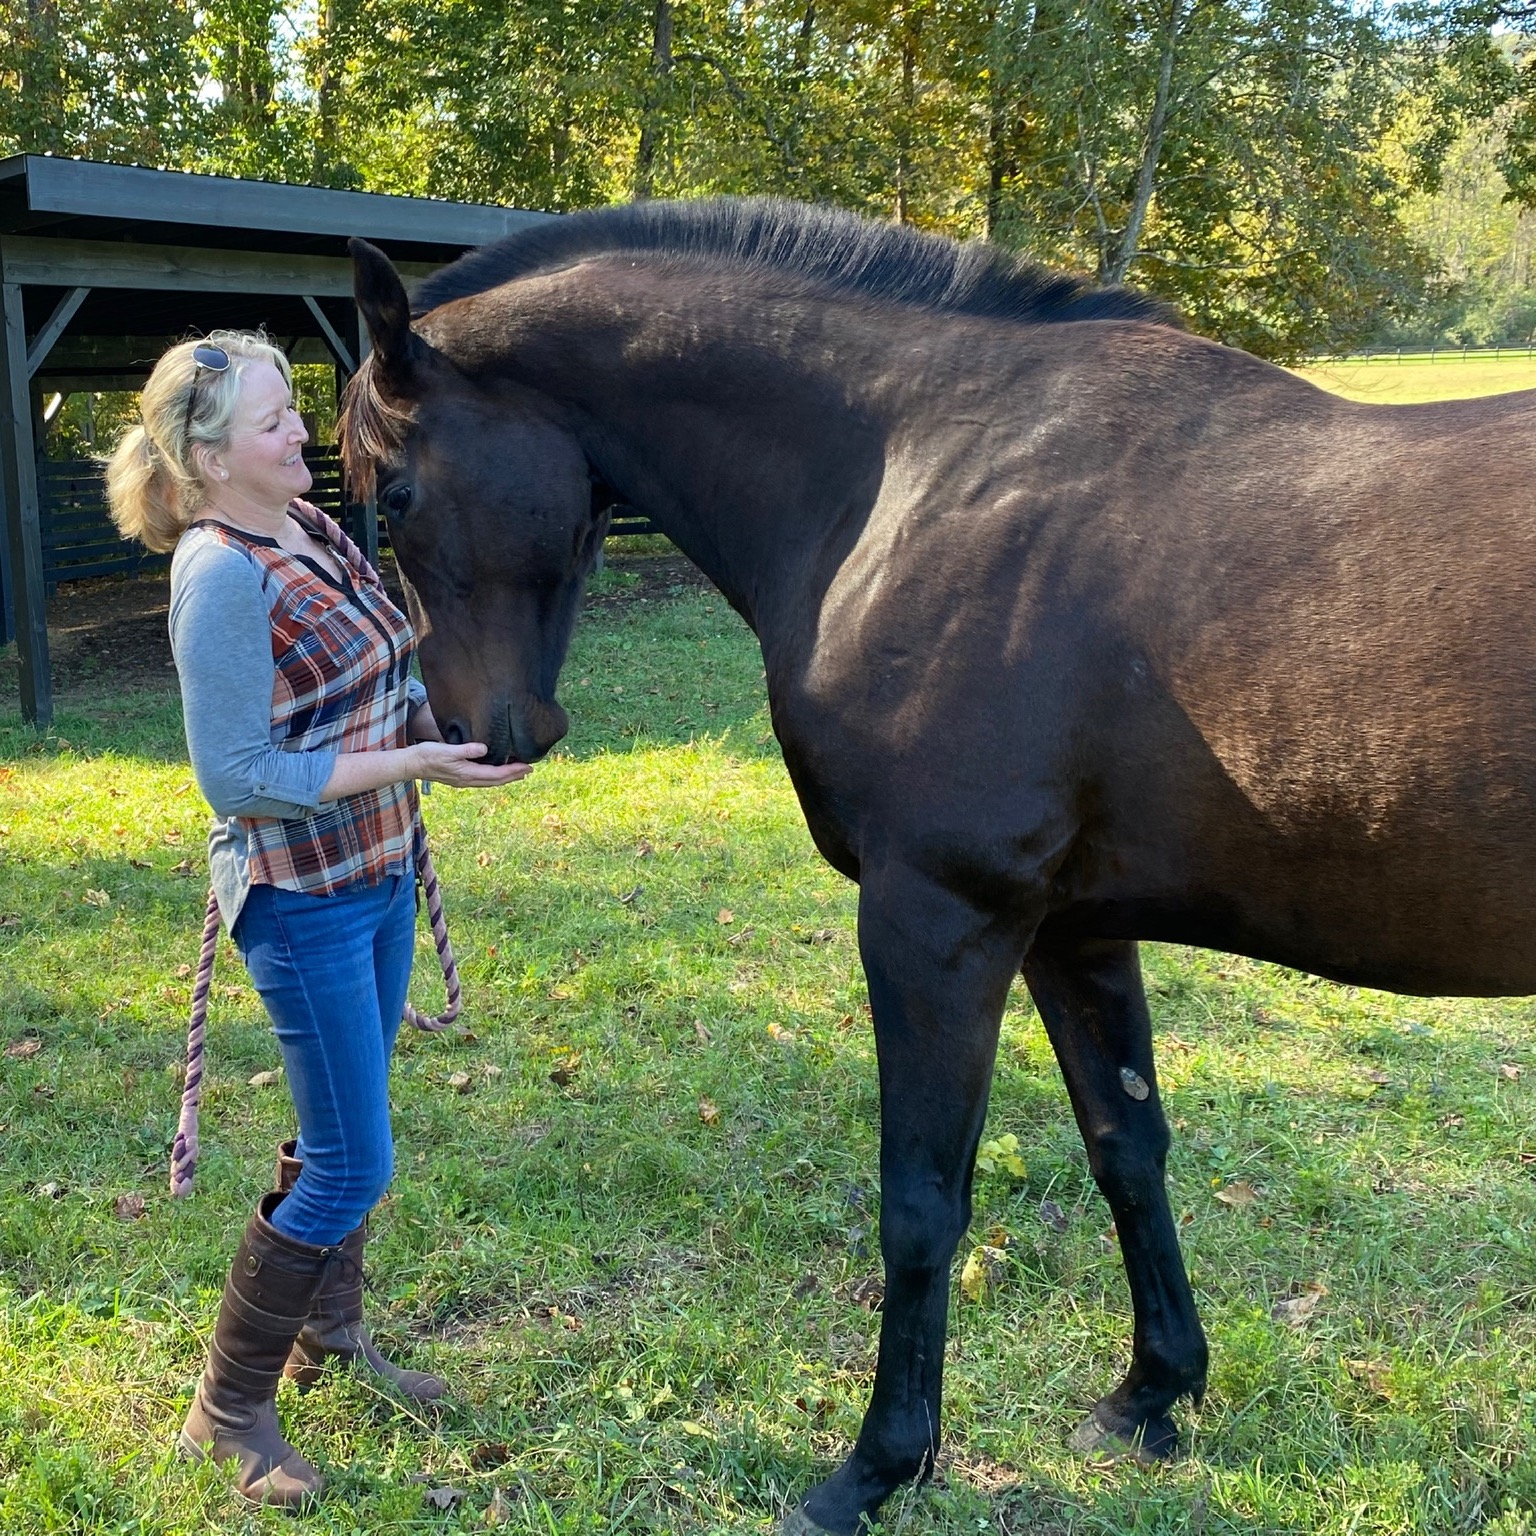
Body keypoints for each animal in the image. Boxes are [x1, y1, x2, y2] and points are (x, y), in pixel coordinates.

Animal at [338, 198, 1536, 1535]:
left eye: (395, 495)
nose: (475, 731)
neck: (914, 475)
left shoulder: (940, 920)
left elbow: (920, 1204)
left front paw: (874, 1466)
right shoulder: (1071, 931)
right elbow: (1128, 1147)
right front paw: (1153, 1392)